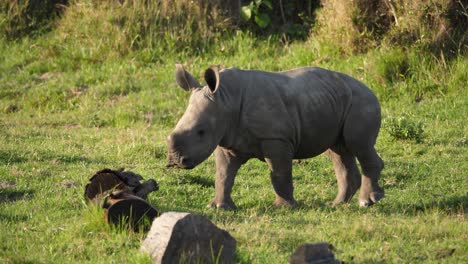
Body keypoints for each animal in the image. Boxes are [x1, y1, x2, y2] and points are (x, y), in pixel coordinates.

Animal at [168, 64, 384, 208]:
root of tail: (371, 90)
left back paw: (366, 202)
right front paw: (218, 207)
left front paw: (283, 207)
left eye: (201, 132)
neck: (225, 99)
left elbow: (279, 172)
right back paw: (336, 204)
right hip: (335, 101)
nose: (175, 161)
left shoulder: (276, 138)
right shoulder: (227, 140)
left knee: (359, 146)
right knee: (338, 151)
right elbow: (223, 174)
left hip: (362, 103)